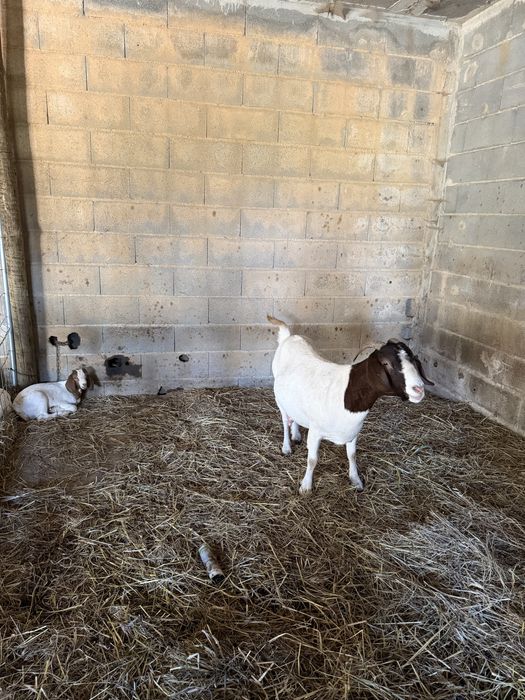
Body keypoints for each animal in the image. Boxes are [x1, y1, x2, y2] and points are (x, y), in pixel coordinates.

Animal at [267, 316, 434, 493]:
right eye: (386, 363)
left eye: (413, 360)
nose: (418, 389)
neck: (345, 396)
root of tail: (289, 336)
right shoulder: (315, 432)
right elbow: (312, 460)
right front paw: (306, 486)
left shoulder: (353, 432)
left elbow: (352, 456)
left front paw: (356, 480)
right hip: (279, 399)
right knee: (285, 421)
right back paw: (287, 447)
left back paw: (296, 435)